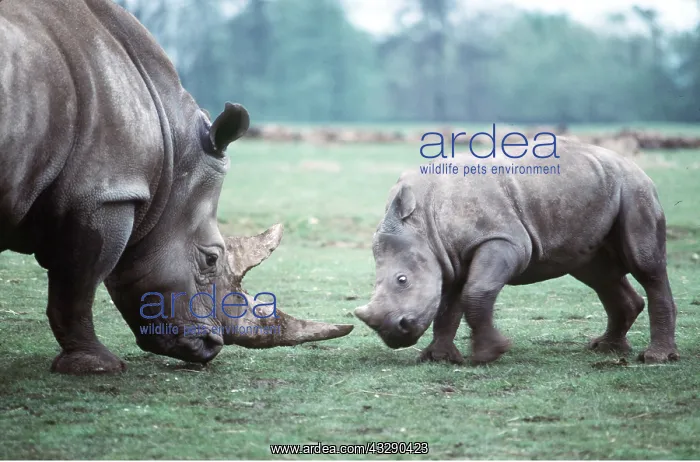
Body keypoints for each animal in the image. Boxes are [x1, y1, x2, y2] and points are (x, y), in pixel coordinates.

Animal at [0, 0, 352, 374]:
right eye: (211, 259)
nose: (210, 347)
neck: (173, 147)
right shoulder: (103, 195)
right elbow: (76, 284)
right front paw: (97, 366)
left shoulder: (98, 192)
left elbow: (74, 283)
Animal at [355, 141, 679, 365]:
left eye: (402, 280)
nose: (393, 336)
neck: (422, 221)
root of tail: (630, 163)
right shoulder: (449, 256)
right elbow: (448, 306)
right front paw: (438, 358)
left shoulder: (503, 239)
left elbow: (475, 292)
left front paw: (489, 354)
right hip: (597, 189)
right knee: (599, 274)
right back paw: (605, 348)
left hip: (634, 189)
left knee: (645, 266)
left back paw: (655, 358)